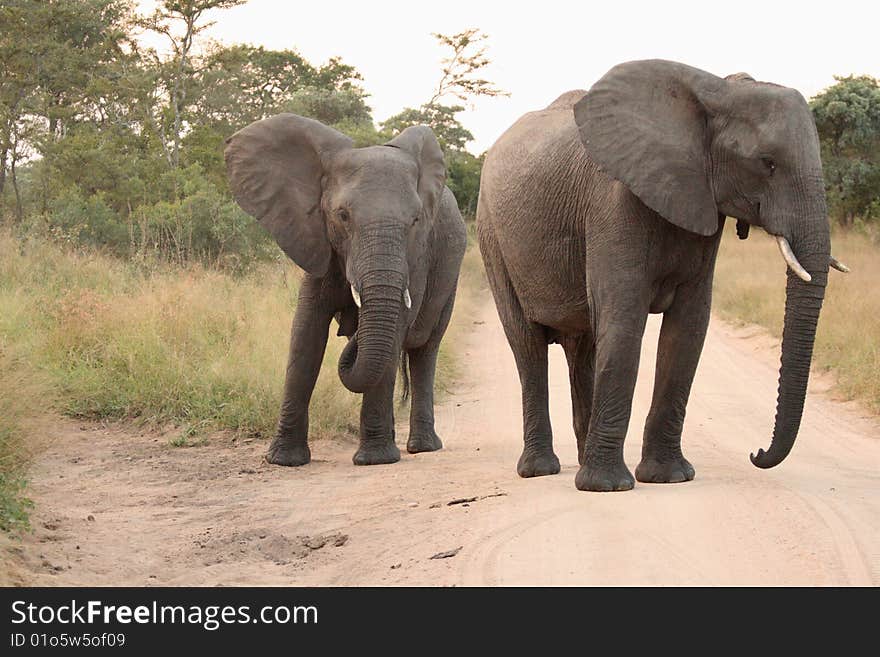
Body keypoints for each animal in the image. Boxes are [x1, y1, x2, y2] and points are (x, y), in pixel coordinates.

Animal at [225, 115, 468, 466]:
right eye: (342, 216)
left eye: (415, 220)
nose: (352, 323)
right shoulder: (317, 241)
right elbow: (306, 333)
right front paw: (283, 460)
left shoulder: (417, 257)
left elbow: (397, 327)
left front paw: (375, 460)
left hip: (451, 272)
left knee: (425, 348)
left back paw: (422, 447)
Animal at [478, 60, 848, 492]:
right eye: (767, 163)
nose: (756, 454)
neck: (715, 93)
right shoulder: (613, 202)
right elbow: (624, 323)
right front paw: (608, 487)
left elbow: (687, 330)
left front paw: (669, 477)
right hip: (491, 236)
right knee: (527, 345)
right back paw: (541, 469)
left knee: (582, 348)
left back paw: (581, 460)